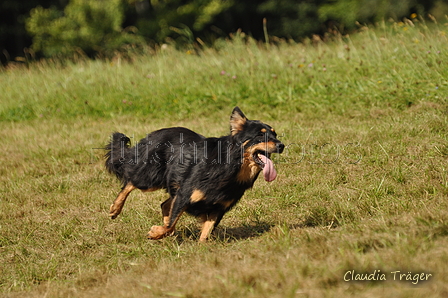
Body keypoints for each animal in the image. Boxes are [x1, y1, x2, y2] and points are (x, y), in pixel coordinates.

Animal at [105, 107, 284, 242]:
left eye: (275, 134)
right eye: (260, 135)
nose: (281, 145)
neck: (230, 167)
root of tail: (154, 133)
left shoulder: (219, 207)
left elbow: (205, 232)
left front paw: (201, 248)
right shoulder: (185, 194)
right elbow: (172, 222)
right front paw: (156, 233)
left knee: (164, 205)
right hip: (150, 177)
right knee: (130, 181)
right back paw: (115, 208)